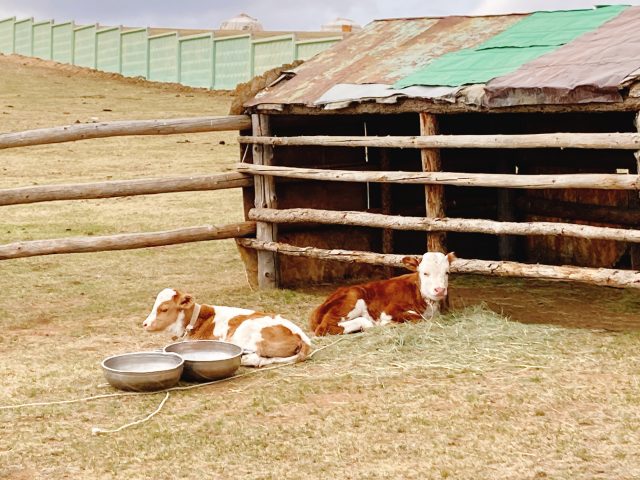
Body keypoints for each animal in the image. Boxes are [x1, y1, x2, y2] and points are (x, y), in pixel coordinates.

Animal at [310, 251, 456, 338]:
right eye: (425, 273)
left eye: (447, 272)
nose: (440, 289)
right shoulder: (389, 311)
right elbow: (417, 317)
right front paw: (388, 323)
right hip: (352, 299)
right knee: (324, 328)